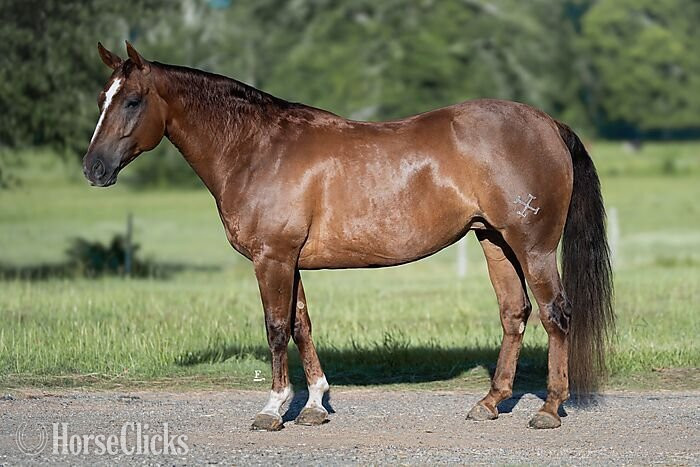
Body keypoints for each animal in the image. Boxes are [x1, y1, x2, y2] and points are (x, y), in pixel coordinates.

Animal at [84, 42, 614, 431]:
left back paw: (549, 409)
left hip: (533, 245)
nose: (93, 169)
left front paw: (273, 409)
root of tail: (547, 123)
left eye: (132, 100)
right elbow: (301, 325)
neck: (257, 149)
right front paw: (315, 404)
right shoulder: (288, 261)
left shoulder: (272, 259)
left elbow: (276, 328)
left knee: (555, 314)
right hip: (495, 242)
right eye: (101, 99)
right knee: (514, 314)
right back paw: (489, 402)